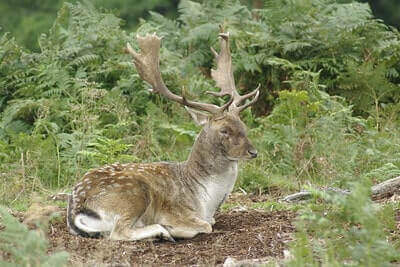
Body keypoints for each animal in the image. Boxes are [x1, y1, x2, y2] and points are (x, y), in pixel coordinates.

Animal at [66, 28, 260, 242]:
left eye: (243, 125)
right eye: (224, 130)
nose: (253, 152)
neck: (206, 203)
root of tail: (77, 208)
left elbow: (211, 222)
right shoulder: (175, 210)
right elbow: (206, 225)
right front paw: (175, 228)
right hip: (133, 194)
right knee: (118, 232)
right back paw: (163, 231)